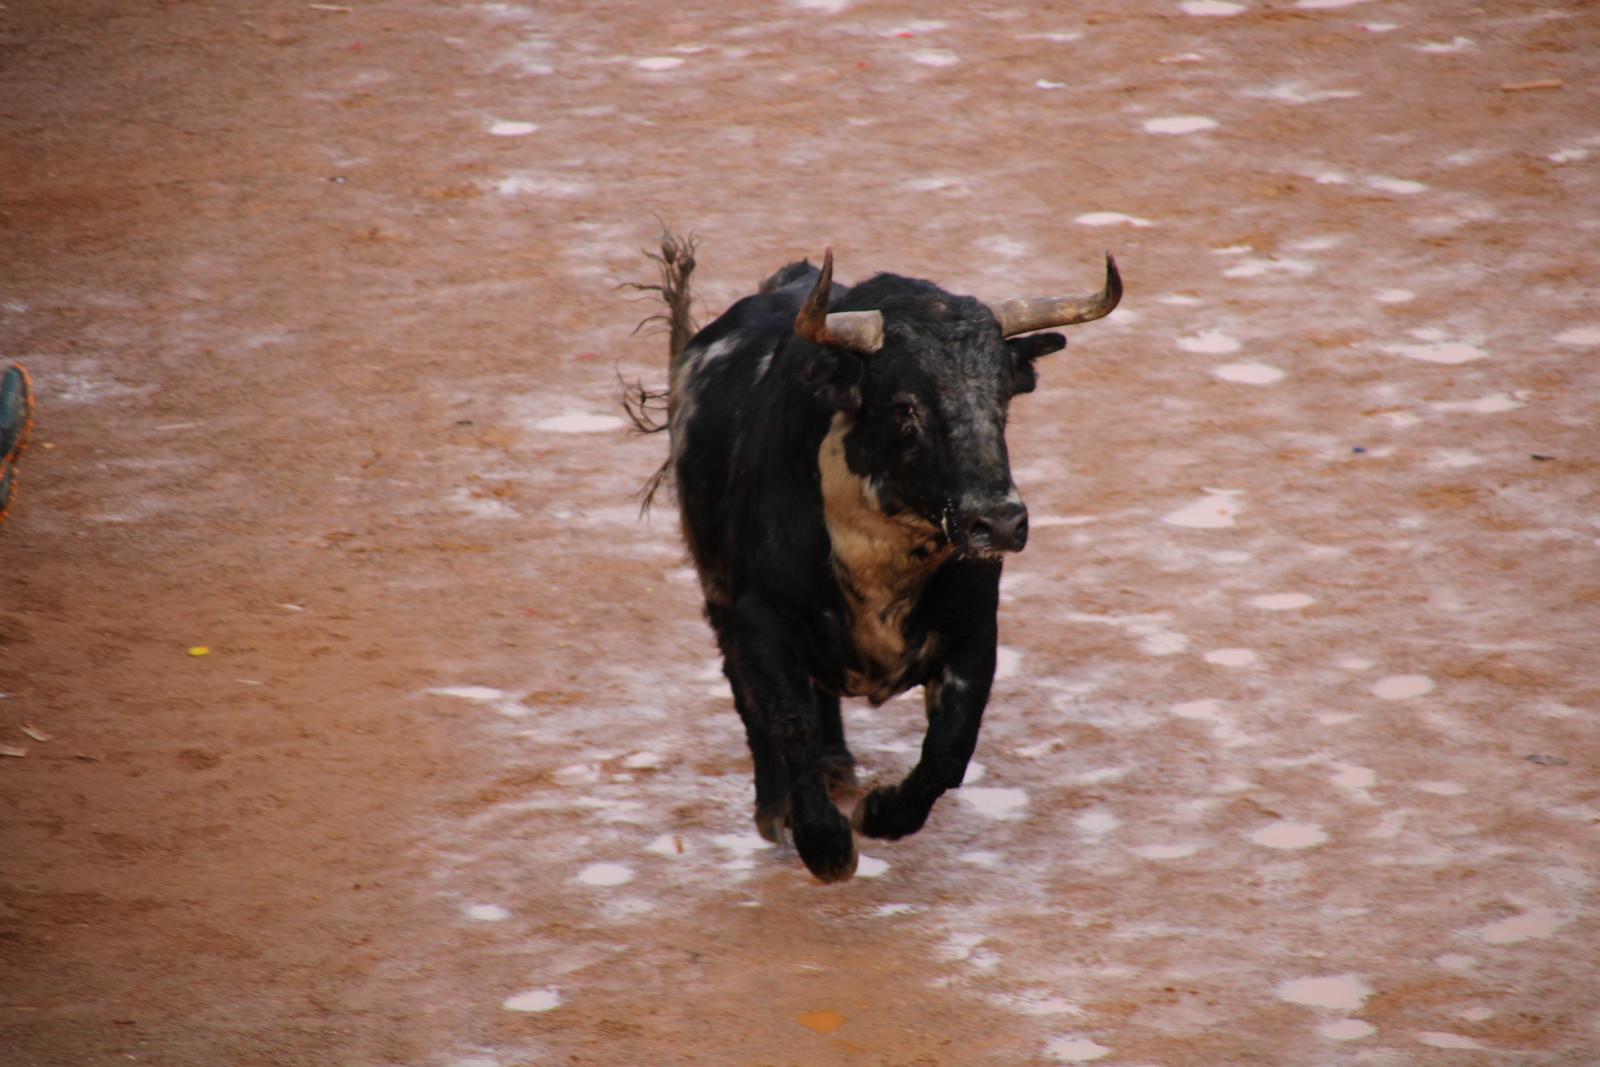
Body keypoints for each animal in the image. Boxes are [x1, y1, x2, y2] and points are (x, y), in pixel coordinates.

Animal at [617, 238, 1120, 883]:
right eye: (905, 406)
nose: (1000, 522)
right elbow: (788, 721)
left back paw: (839, 767)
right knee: (754, 703)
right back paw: (775, 806)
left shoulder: (976, 628)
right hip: (718, 595)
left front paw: (882, 814)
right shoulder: (760, 614)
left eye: (1003, 397)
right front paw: (825, 844)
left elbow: (951, 747)